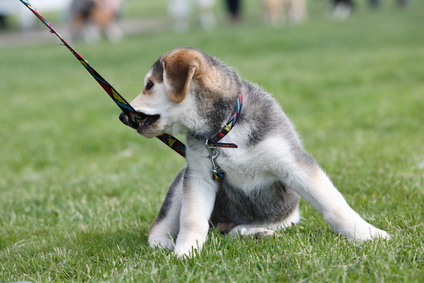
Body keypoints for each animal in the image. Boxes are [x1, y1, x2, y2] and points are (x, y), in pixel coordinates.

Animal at [118, 47, 388, 258]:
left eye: (149, 85)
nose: (122, 116)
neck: (224, 131)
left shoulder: (293, 164)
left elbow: (334, 205)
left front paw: (367, 233)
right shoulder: (198, 176)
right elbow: (192, 220)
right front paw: (185, 252)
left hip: (284, 219)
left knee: (234, 231)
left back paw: (253, 232)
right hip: (179, 186)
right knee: (159, 227)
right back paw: (166, 243)